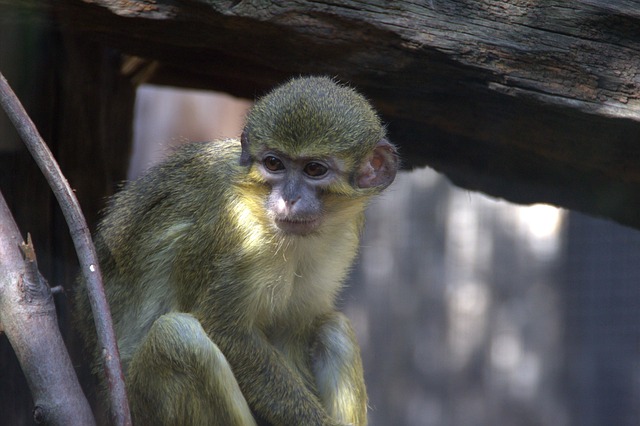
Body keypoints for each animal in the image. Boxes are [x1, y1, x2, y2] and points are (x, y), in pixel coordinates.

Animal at [74, 76, 396, 426]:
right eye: (274, 164)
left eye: (314, 169)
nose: (289, 198)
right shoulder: (236, 232)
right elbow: (226, 331)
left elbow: (292, 332)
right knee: (177, 338)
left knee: (334, 329)